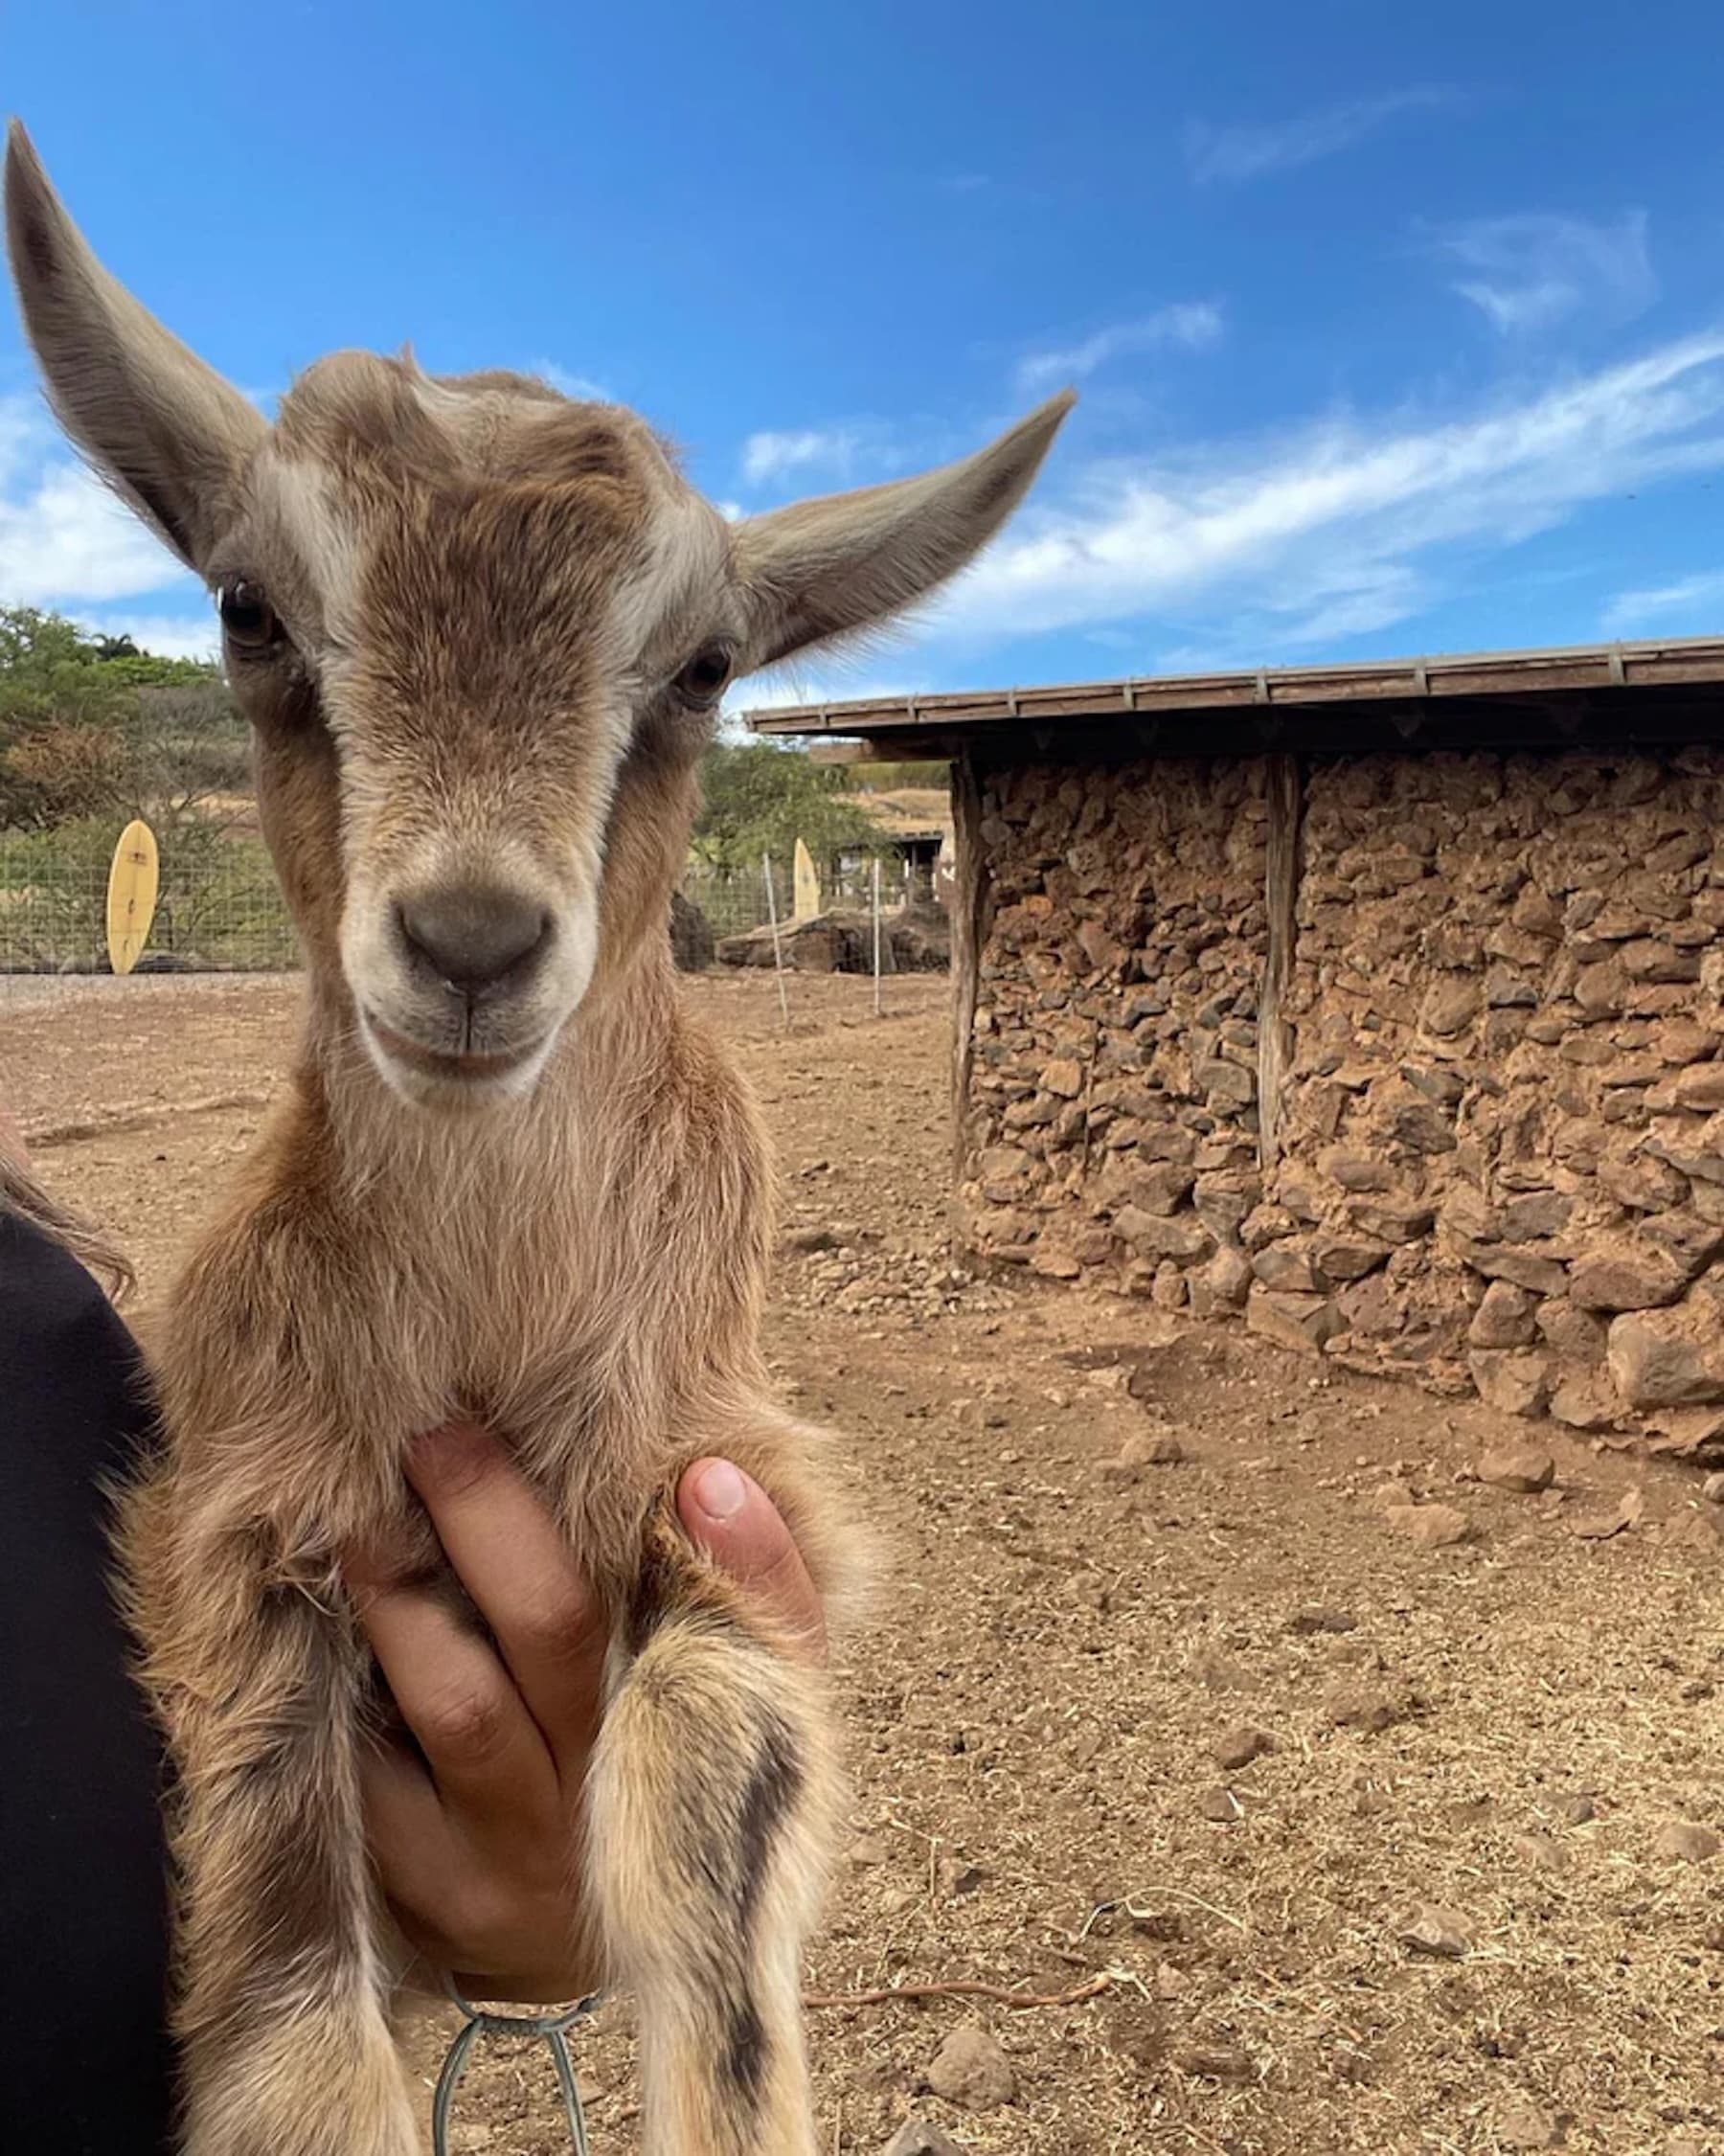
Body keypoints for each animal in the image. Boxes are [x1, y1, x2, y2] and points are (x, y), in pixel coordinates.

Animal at [4, 122, 1069, 2156]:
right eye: (249, 607)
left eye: (707, 665)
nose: (475, 944)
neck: (486, 1316)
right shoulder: (242, 1527)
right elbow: (289, 2017)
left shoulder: (727, 1476)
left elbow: (700, 1796)